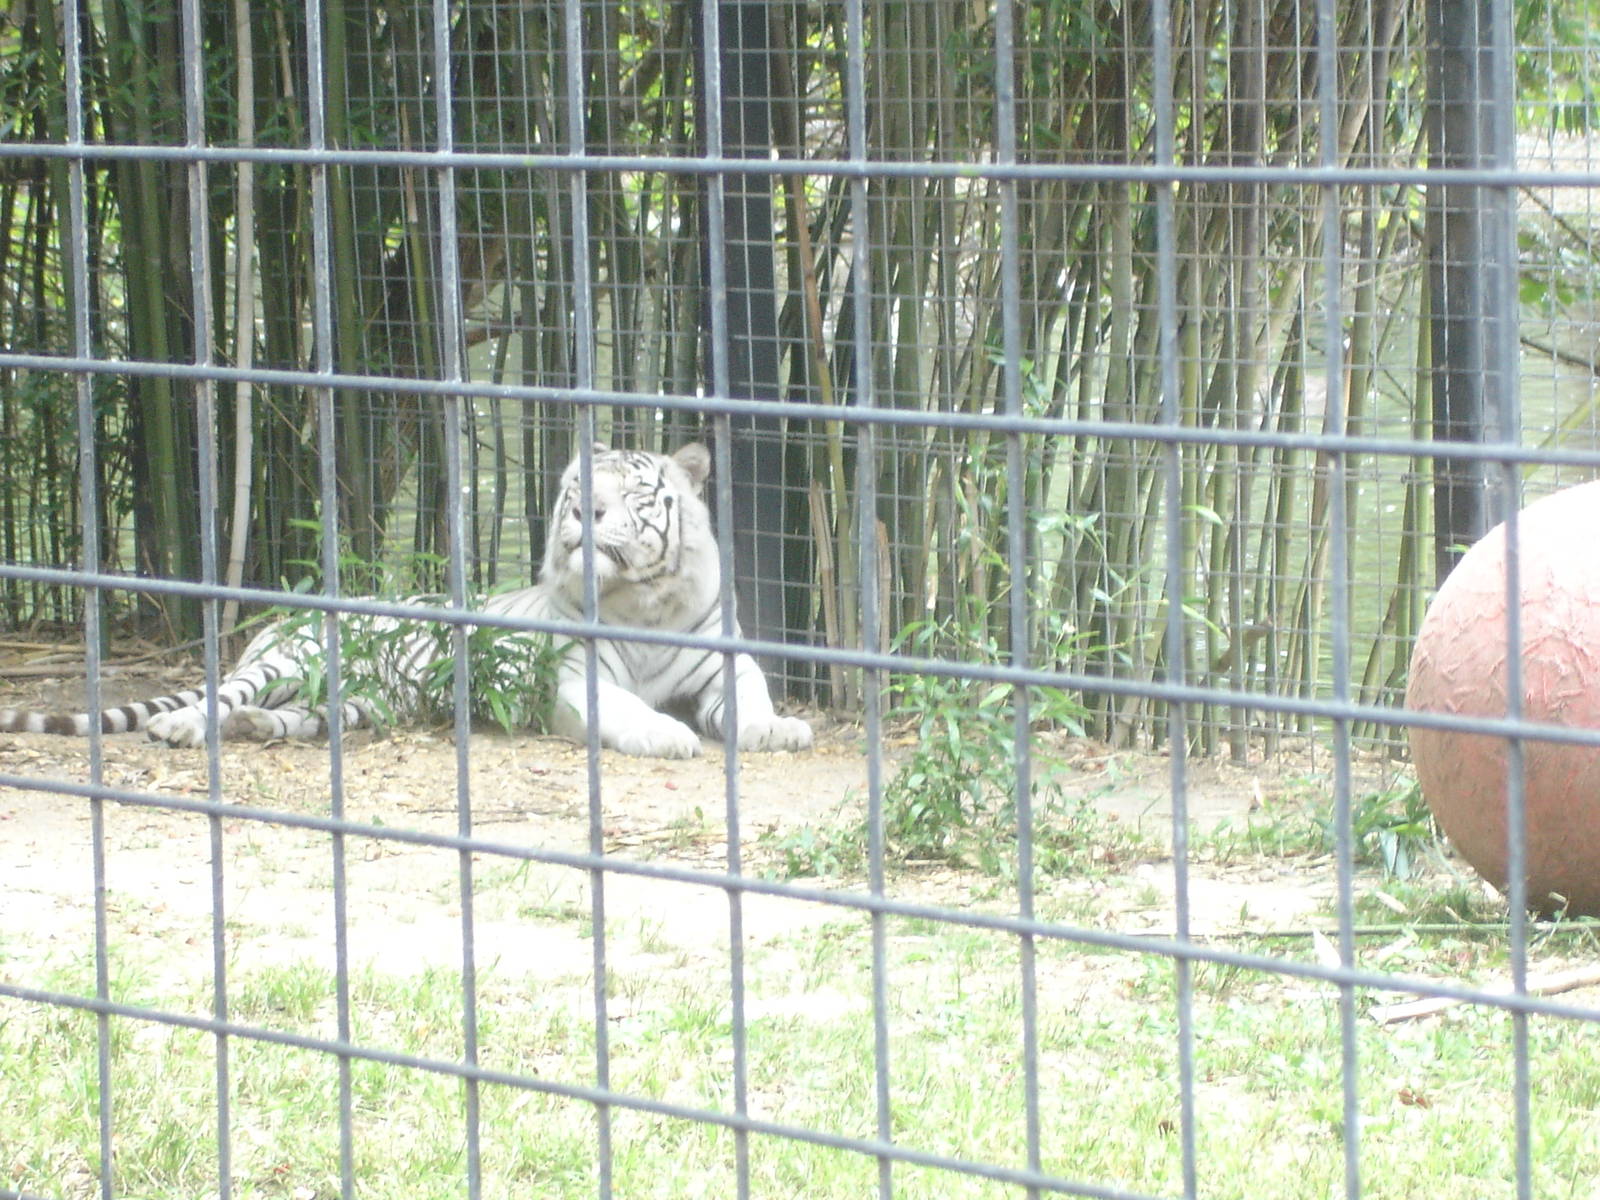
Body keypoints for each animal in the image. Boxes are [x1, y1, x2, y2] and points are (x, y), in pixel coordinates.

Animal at [0, 443, 813, 760]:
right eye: (581, 491)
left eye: (634, 492)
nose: (587, 513)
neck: (645, 604)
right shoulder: (574, 679)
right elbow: (622, 708)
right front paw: (666, 735)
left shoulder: (727, 665)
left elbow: (752, 699)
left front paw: (777, 729)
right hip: (285, 659)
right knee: (214, 695)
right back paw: (183, 728)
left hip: (352, 700)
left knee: (292, 715)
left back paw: (257, 727)